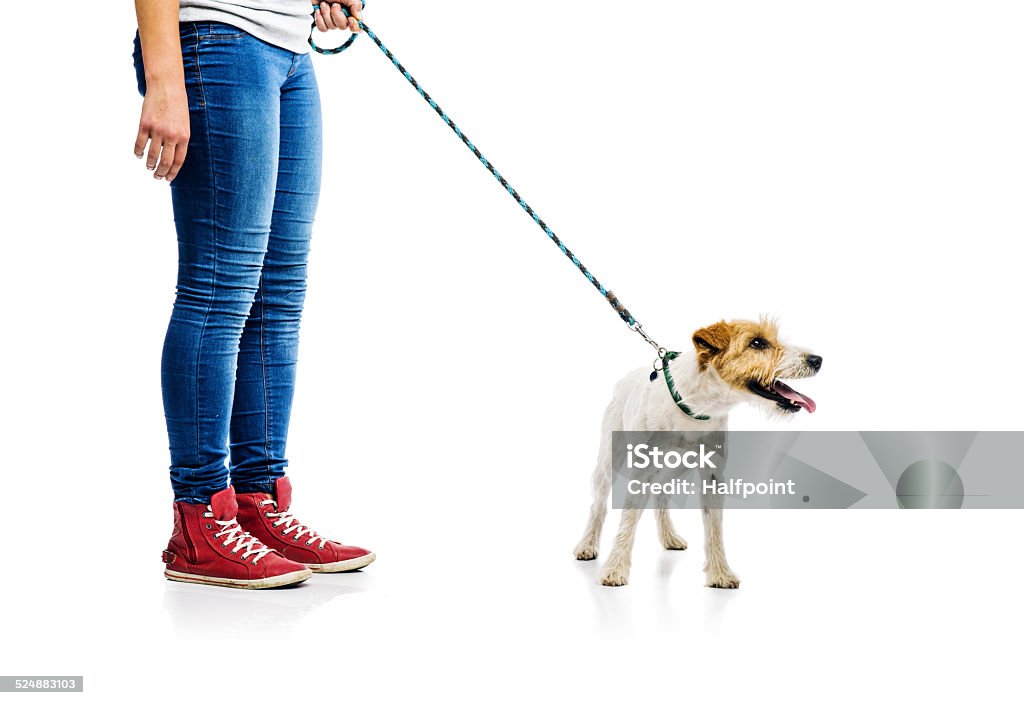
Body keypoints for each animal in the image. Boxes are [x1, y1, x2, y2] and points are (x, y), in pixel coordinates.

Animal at [573, 317, 819, 586]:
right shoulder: (642, 471)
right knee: (598, 505)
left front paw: (720, 572)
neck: (696, 406)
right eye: (757, 343)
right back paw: (587, 545)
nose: (817, 360)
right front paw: (615, 568)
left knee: (660, 492)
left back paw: (669, 536)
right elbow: (628, 518)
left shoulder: (712, 475)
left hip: (676, 468)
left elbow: (714, 526)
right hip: (609, 461)